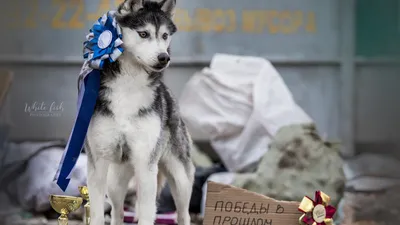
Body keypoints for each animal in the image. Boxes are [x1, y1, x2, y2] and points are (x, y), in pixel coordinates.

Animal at [85, 0, 195, 225]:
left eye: (164, 35)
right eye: (143, 34)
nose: (164, 57)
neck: (128, 86)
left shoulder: (146, 165)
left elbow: (146, 213)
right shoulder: (98, 163)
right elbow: (98, 214)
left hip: (181, 180)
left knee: (184, 213)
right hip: (115, 181)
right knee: (117, 212)